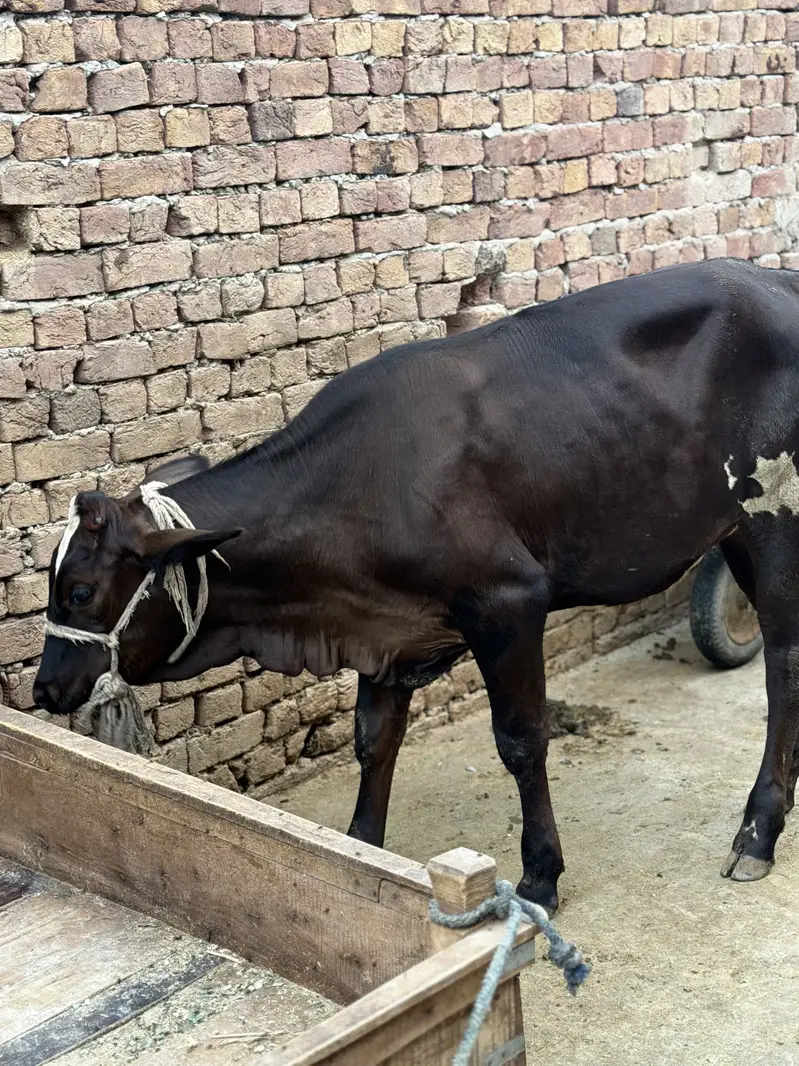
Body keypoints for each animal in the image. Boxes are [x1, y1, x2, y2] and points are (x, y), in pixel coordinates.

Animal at [33, 257, 799, 913]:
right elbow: (374, 739)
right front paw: (361, 849)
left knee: (782, 661)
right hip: (732, 527)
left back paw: (757, 831)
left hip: (772, 515)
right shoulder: (387, 634)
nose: (43, 689)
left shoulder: (507, 602)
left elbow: (521, 740)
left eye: (79, 591)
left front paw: (541, 875)